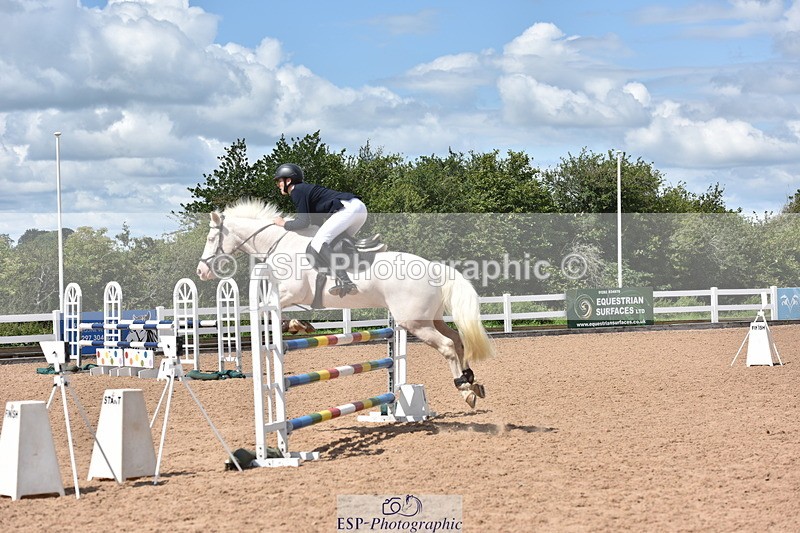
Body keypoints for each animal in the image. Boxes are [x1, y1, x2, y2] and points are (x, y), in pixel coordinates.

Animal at [196, 199, 494, 408]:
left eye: (211, 238)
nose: (201, 271)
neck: (279, 244)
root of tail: (434, 268)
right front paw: (300, 325)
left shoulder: (290, 292)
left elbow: (270, 311)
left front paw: (294, 326)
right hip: (431, 318)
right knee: (457, 340)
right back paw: (471, 381)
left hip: (414, 323)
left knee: (447, 346)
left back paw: (464, 390)